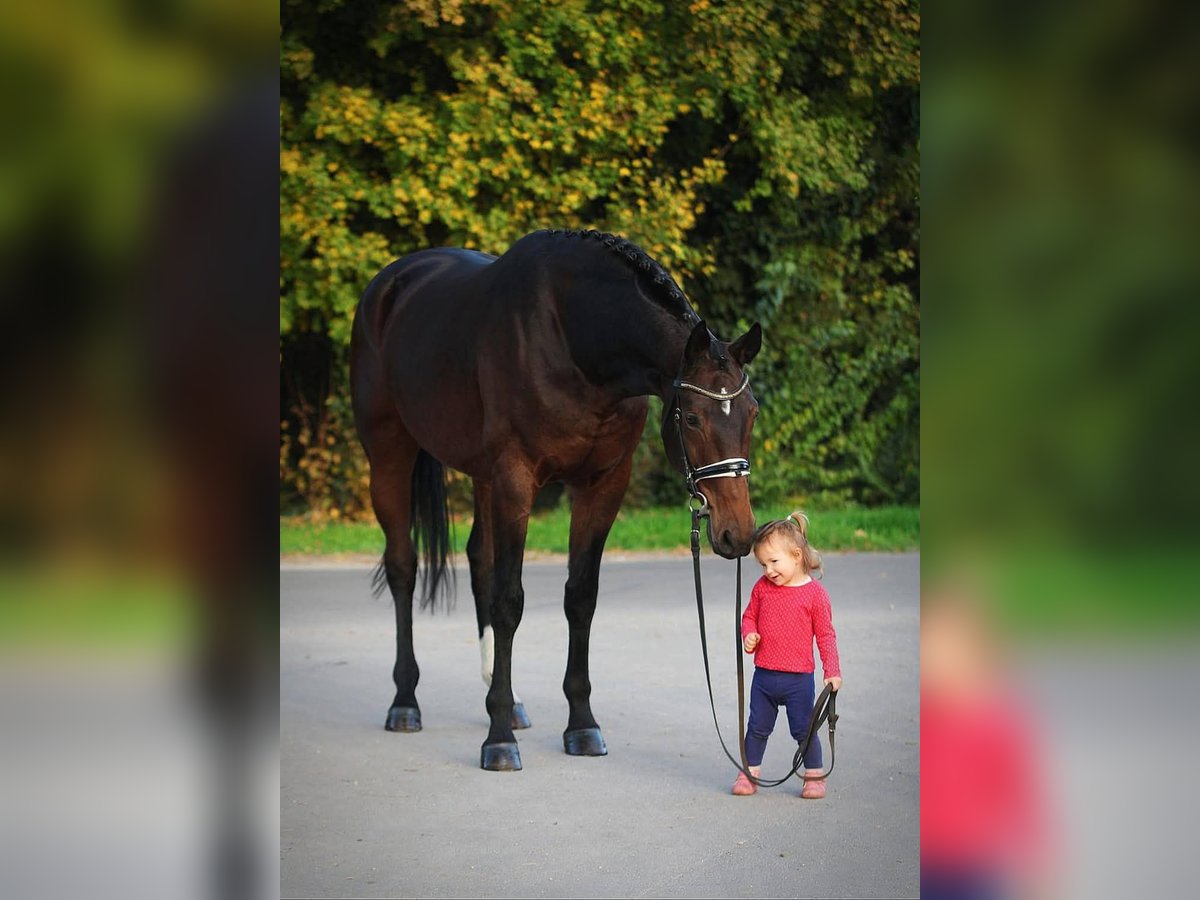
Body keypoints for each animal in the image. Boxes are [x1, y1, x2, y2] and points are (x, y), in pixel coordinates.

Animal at [350, 229, 758, 772]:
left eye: (752, 412)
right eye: (691, 418)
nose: (738, 533)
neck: (574, 340)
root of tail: (389, 284)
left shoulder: (603, 484)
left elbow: (580, 597)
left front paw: (581, 725)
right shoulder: (516, 479)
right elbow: (509, 601)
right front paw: (499, 740)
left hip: (482, 475)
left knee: (480, 560)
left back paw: (505, 698)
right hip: (390, 454)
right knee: (403, 566)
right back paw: (405, 702)